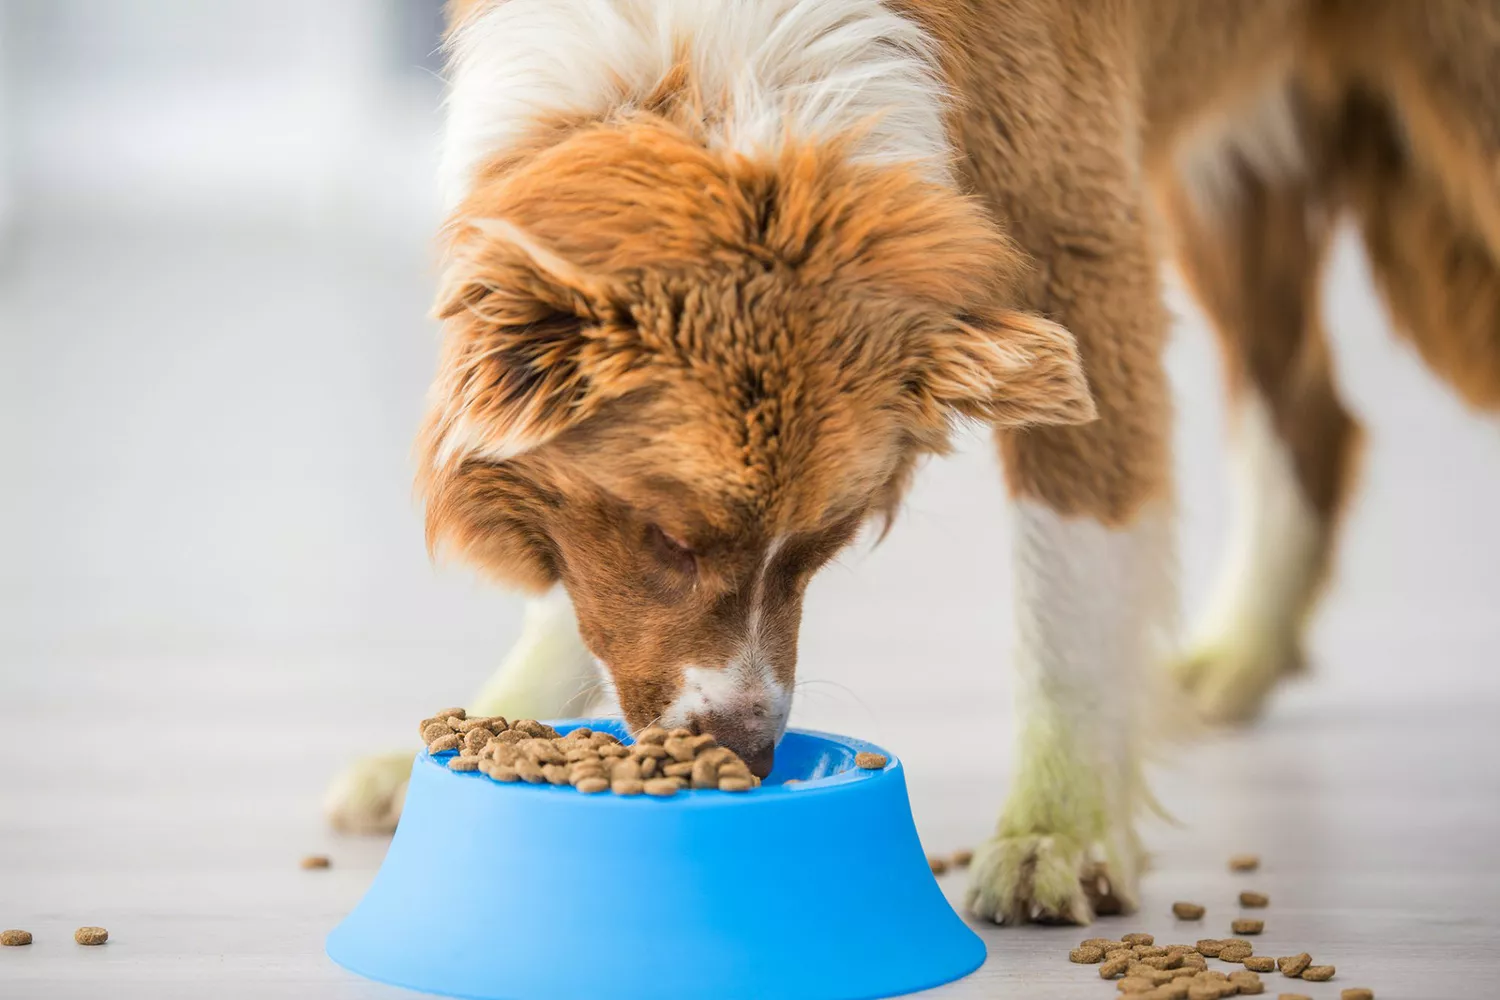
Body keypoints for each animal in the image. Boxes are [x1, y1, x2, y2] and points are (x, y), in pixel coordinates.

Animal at [325, 0, 1500, 929]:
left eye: (825, 544)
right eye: (667, 536)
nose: (749, 758)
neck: (723, 59)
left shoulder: (1081, 248)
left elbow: (1072, 568)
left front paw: (1061, 829)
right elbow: (587, 596)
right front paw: (494, 718)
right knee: (1310, 416)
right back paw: (1242, 651)